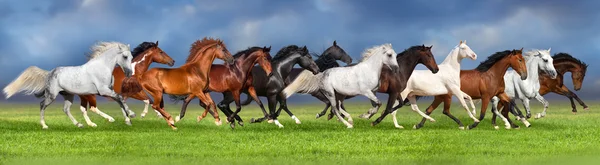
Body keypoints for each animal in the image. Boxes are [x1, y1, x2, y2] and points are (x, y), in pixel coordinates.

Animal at [3, 41, 135, 129]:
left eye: (131, 57)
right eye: (125, 56)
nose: (129, 73)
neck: (102, 67)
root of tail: (50, 72)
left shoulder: (108, 90)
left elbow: (120, 100)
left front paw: (127, 120)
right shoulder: (103, 91)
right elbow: (120, 98)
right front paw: (131, 115)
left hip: (68, 95)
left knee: (66, 109)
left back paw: (79, 124)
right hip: (52, 95)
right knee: (42, 105)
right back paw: (44, 125)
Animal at [284, 44, 438, 126]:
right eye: (429, 56)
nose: (436, 70)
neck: (399, 70)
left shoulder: (396, 93)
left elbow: (396, 105)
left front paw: (368, 115)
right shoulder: (392, 93)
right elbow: (388, 108)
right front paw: (372, 120)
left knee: (335, 104)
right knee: (333, 104)